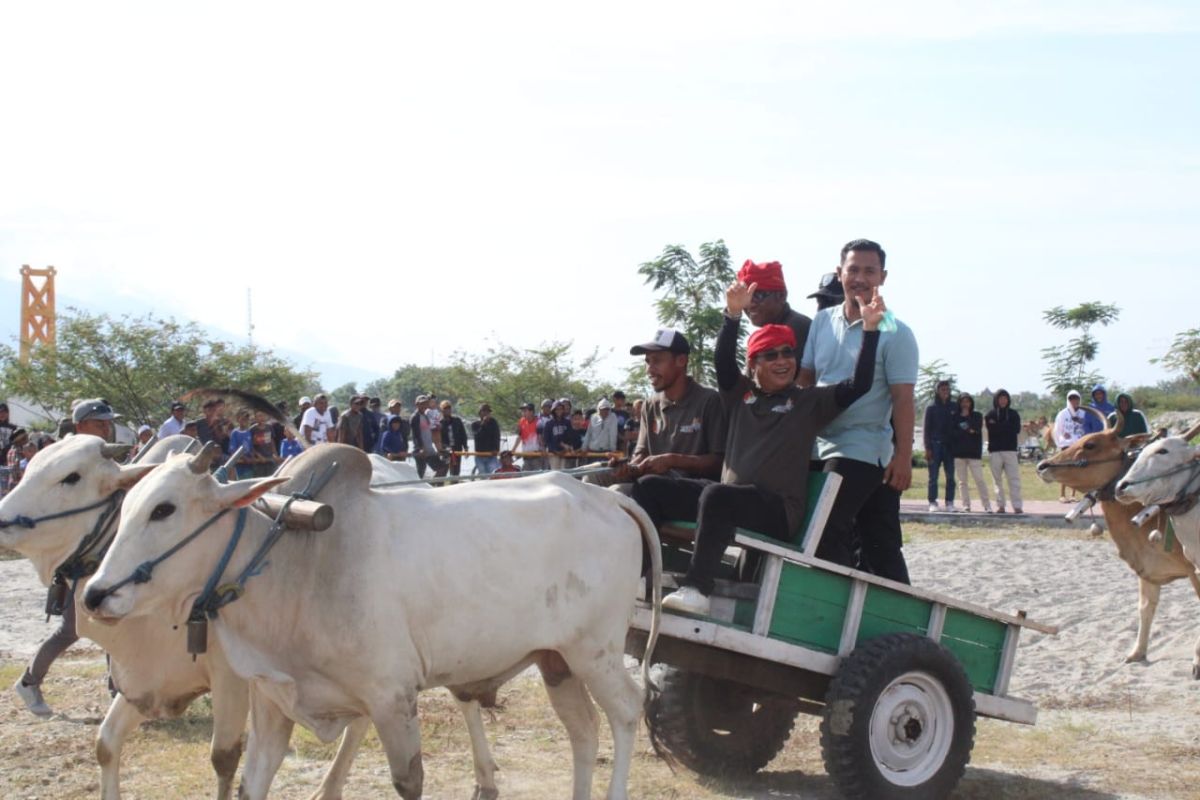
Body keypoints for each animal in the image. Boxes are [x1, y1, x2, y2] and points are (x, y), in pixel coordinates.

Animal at [84, 443, 667, 800]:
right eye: (126, 505)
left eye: (164, 509)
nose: (95, 593)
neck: (298, 561)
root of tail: (604, 494)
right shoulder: (272, 702)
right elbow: (252, 783)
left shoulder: (391, 699)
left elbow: (408, 782)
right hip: (556, 660)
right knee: (583, 731)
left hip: (596, 651)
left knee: (625, 712)